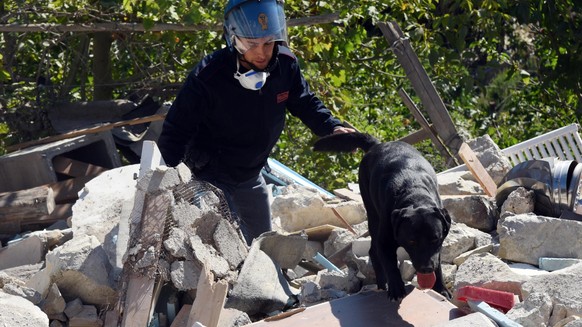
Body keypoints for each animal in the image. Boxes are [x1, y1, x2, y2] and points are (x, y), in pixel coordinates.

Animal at [318, 133, 454, 302]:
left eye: (435, 239)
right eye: (412, 241)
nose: (426, 268)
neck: (414, 194)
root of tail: (377, 144)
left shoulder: (437, 247)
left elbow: (439, 263)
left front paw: (441, 289)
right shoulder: (385, 242)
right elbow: (390, 265)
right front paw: (396, 289)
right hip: (372, 215)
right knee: (373, 252)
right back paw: (382, 286)